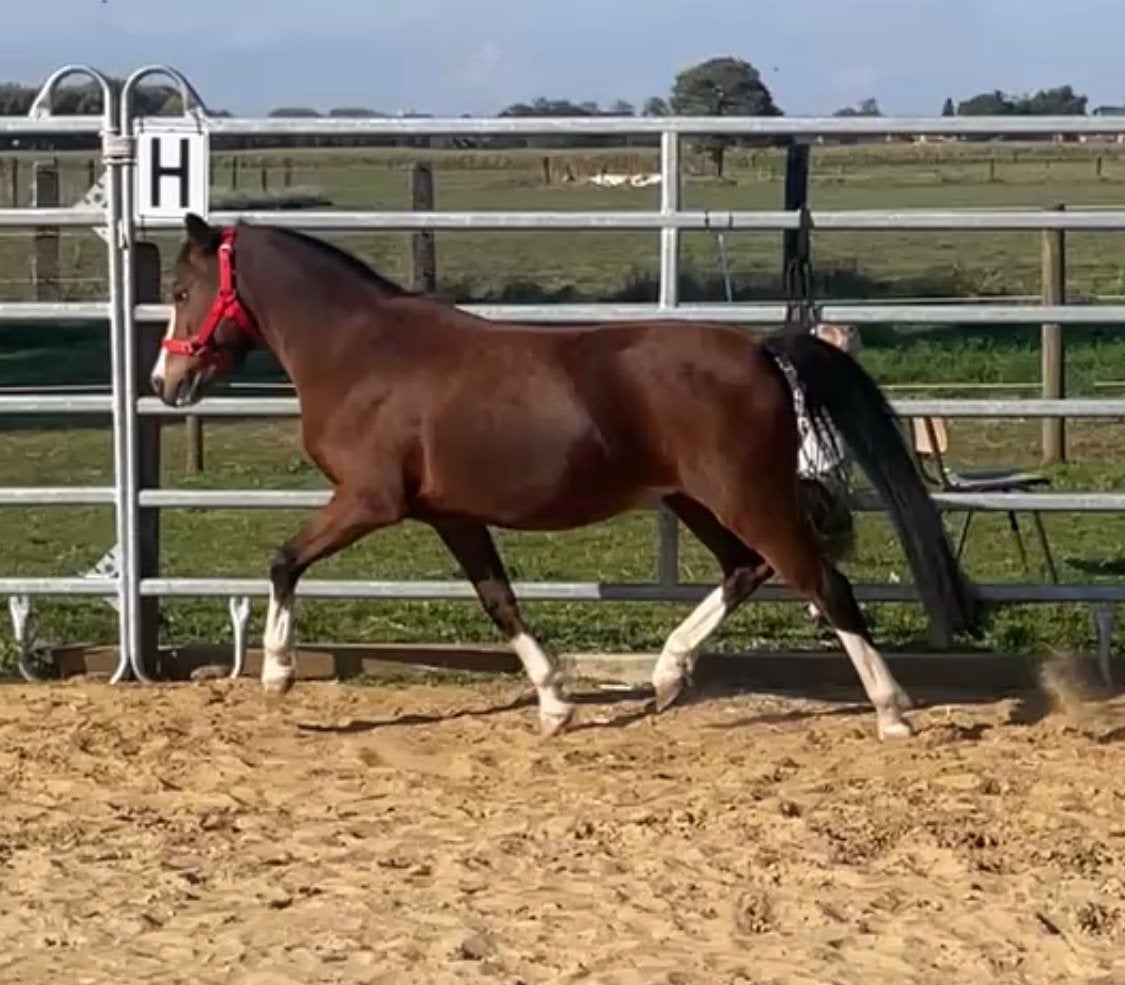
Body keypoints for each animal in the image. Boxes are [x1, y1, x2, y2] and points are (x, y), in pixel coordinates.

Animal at [150, 213, 981, 741]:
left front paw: (277, 672)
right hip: (696, 500)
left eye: (181, 290)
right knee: (745, 570)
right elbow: (499, 601)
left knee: (822, 582)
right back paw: (666, 675)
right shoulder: (450, 514)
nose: (166, 381)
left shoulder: (369, 499)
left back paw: (892, 711)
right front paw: (555, 704)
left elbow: (283, 559)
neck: (362, 354)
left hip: (746, 497)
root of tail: (761, 351)